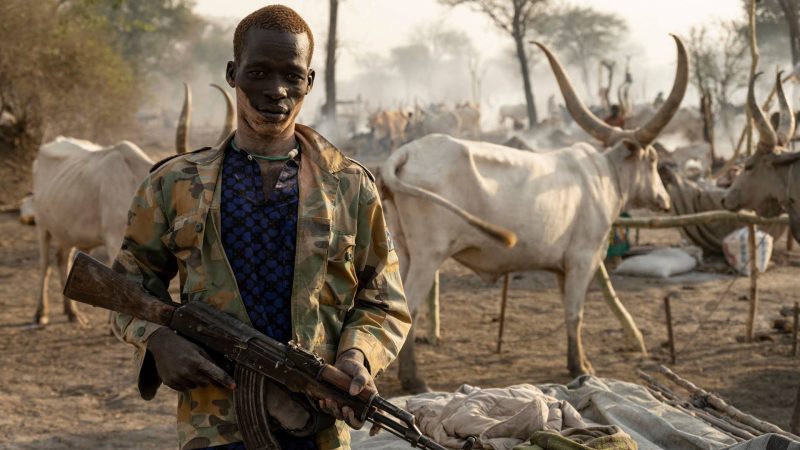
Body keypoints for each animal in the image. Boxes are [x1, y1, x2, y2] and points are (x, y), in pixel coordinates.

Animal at [31, 83, 234, 326]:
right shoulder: (114, 238)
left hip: (67, 230)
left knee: (63, 258)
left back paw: (72, 312)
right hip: (42, 226)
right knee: (45, 265)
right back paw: (41, 313)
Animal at [379, 35, 687, 392]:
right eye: (652, 160)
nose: (663, 200)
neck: (604, 175)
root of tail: (405, 153)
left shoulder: (561, 268)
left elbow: (570, 311)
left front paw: (579, 361)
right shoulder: (582, 260)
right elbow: (575, 313)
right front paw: (580, 367)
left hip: (402, 250)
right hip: (428, 256)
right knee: (411, 306)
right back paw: (414, 380)